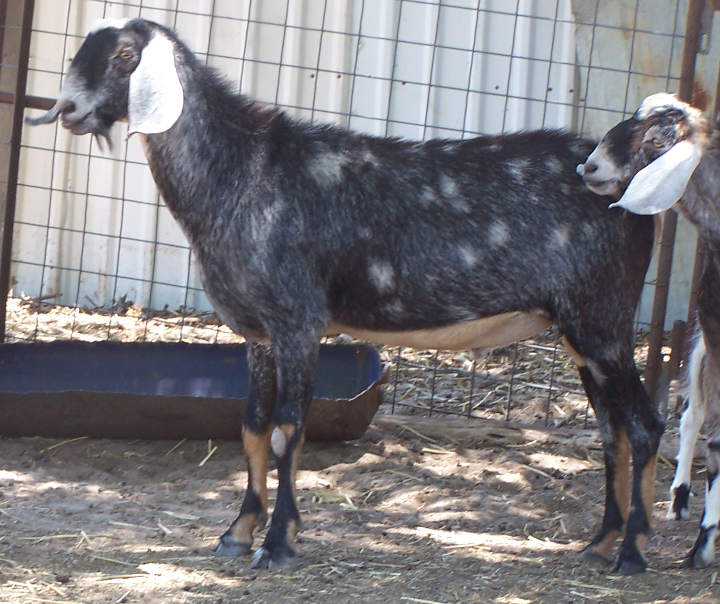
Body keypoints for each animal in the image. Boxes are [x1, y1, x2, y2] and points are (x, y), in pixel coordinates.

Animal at [29, 20, 664, 576]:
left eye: (124, 55)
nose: (69, 109)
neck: (241, 172)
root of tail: (628, 187)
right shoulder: (258, 332)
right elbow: (252, 428)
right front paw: (238, 533)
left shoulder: (298, 321)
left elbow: (288, 431)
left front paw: (278, 544)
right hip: (582, 333)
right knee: (612, 433)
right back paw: (599, 544)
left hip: (603, 320)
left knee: (646, 426)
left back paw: (632, 553)